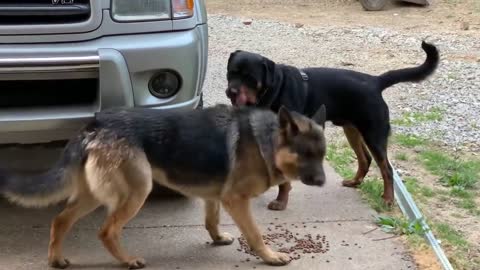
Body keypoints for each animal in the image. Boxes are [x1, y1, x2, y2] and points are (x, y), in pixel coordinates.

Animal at [0, 104, 326, 268]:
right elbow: (255, 234)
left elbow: (211, 220)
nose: (322, 181)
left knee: (60, 220)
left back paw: (55, 259)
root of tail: (94, 125)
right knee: (106, 231)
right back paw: (128, 260)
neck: (266, 141)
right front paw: (270, 257)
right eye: (306, 154)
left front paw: (218, 238)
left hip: (94, 194)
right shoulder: (236, 199)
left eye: (322, 155)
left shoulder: (215, 196)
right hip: (136, 191)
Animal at [225, 40, 438, 211]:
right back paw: (355, 181)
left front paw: (281, 202)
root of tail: (375, 81)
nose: (231, 91)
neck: (274, 89)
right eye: (230, 73)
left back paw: (387, 199)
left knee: (387, 169)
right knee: (365, 159)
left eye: (250, 77)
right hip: (352, 129)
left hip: (374, 133)